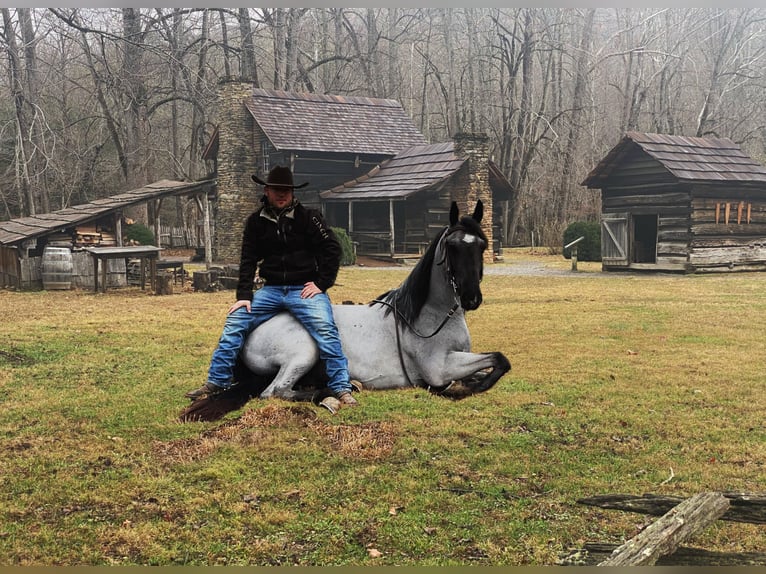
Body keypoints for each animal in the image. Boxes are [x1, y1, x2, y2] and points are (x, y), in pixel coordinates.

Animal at [181, 201, 512, 424]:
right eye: (453, 246)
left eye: (481, 245)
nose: (471, 298)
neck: (428, 317)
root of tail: (253, 332)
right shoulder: (439, 368)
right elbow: (498, 360)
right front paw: (466, 388)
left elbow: (497, 362)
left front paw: (471, 382)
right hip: (304, 352)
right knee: (274, 391)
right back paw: (331, 394)